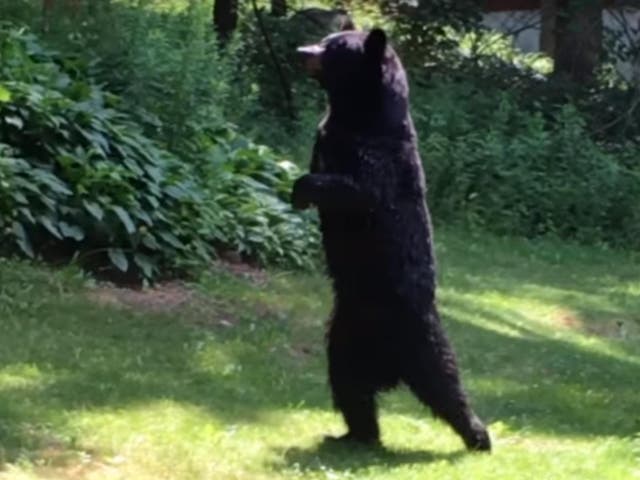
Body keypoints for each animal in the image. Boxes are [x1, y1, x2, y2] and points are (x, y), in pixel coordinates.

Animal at [292, 28, 492, 452]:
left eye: (335, 47)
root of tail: (389, 369)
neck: (359, 114)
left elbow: (357, 191)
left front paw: (302, 189)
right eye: (326, 38)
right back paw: (354, 434)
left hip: (419, 340)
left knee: (446, 386)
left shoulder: (379, 159)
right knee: (350, 389)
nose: (301, 50)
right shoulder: (329, 135)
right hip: (342, 339)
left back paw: (479, 437)